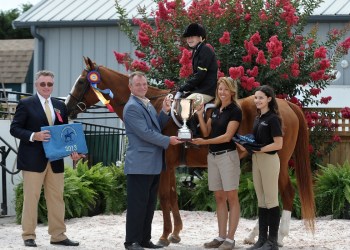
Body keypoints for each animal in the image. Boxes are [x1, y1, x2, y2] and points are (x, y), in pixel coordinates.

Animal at [65, 57, 314, 247]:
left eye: (81, 81)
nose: (67, 108)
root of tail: (286, 105)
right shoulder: (171, 167)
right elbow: (173, 195)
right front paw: (176, 233)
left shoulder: (165, 166)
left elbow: (165, 197)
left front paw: (165, 236)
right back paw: (253, 236)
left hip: (278, 161)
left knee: (286, 193)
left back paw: (279, 238)